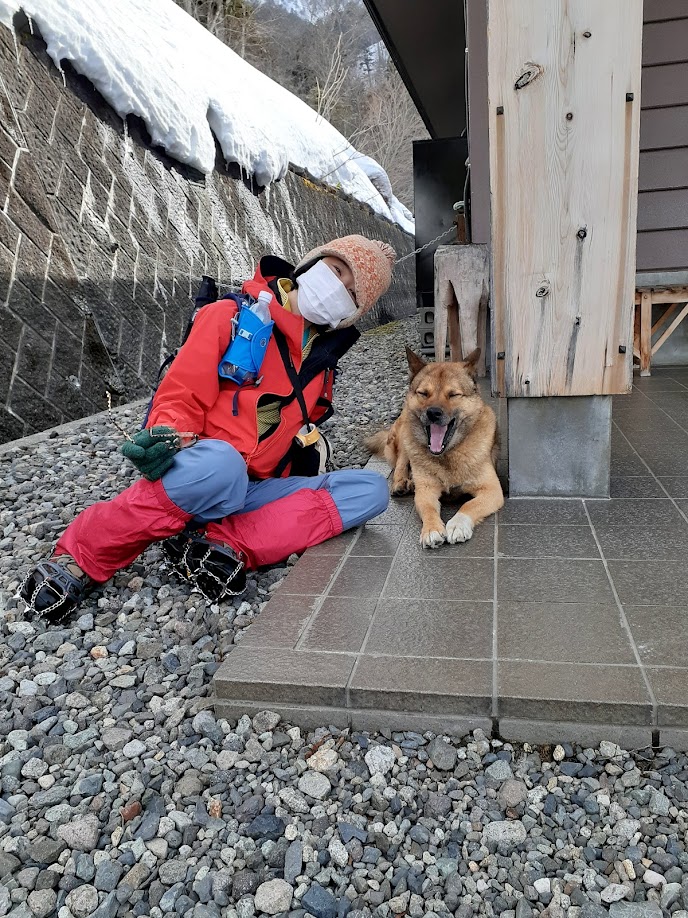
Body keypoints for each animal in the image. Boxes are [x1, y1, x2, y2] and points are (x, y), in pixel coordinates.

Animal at [366, 348, 506, 548]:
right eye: (423, 393)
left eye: (453, 394)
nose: (433, 413)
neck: (447, 455)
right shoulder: (426, 492)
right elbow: (429, 509)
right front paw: (431, 529)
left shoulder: (492, 490)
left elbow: (468, 505)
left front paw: (457, 524)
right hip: (405, 433)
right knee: (401, 462)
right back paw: (401, 482)